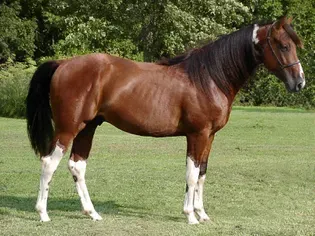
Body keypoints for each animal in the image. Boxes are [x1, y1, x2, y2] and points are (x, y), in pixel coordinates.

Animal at [27, 16, 306, 223]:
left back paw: (92, 213)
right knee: (48, 163)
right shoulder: (197, 134)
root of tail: (63, 64)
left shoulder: (210, 136)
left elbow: (202, 173)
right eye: (283, 46)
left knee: (77, 165)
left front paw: (202, 214)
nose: (300, 82)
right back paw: (43, 213)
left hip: (88, 127)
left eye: (293, 45)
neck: (208, 78)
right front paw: (190, 216)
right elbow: (191, 174)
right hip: (68, 128)